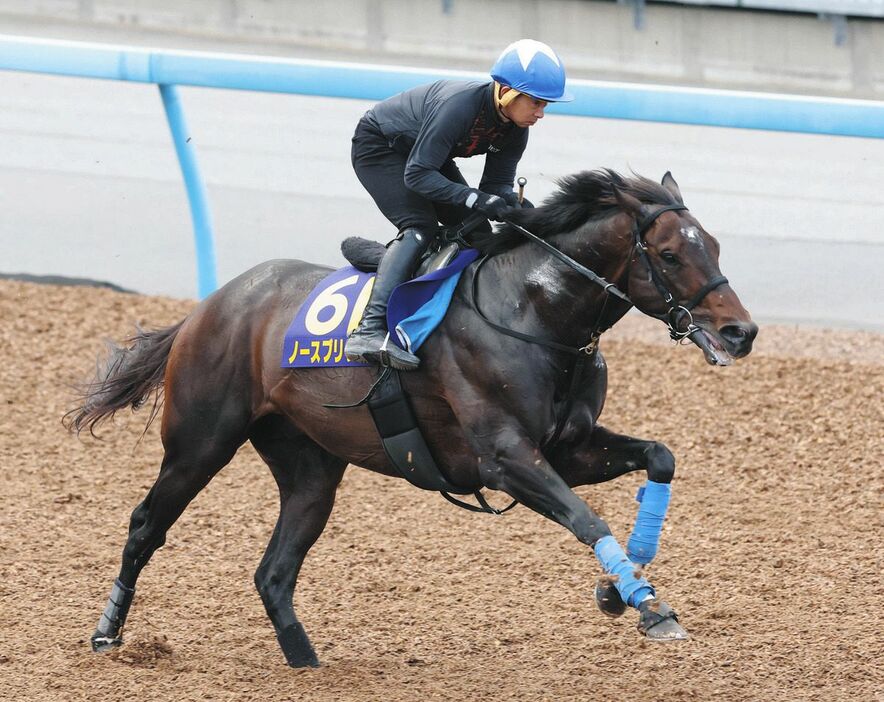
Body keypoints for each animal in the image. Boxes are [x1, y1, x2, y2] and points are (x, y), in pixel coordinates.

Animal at [71, 168, 760, 668]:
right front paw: (646, 604)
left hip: (310, 466)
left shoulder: (569, 448)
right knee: (146, 525)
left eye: (714, 245)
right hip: (201, 443)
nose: (741, 332)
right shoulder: (504, 458)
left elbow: (659, 458)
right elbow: (587, 518)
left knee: (274, 571)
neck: (533, 313)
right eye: (668, 255)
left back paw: (306, 662)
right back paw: (107, 633)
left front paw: (622, 585)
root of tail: (209, 306)